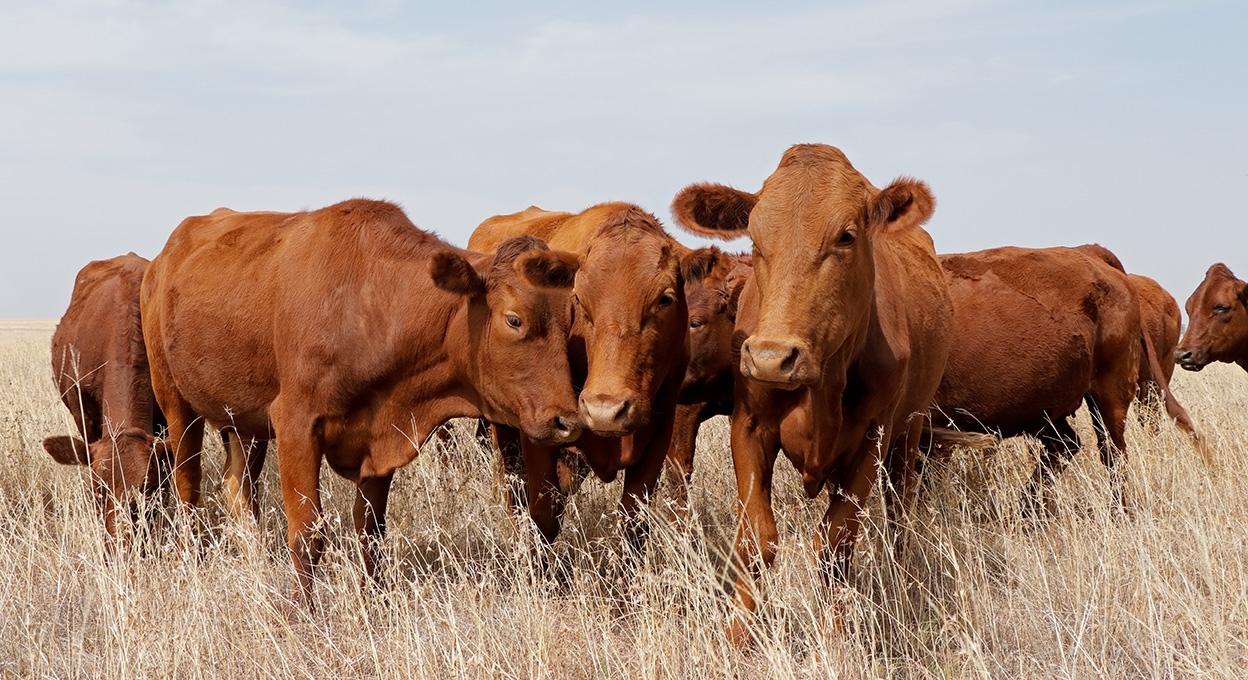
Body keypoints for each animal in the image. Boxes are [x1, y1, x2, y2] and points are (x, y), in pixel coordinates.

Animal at [141, 199, 583, 603]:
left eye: (569, 321)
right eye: (514, 319)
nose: (567, 421)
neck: (369, 308)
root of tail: (162, 258)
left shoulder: (379, 436)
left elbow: (371, 530)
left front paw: (375, 601)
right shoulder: (296, 424)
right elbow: (307, 532)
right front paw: (301, 615)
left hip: (241, 422)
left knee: (238, 489)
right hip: (176, 403)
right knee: (187, 487)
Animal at [467, 202, 701, 549]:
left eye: (665, 299)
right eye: (578, 298)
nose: (605, 410)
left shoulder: (659, 438)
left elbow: (633, 527)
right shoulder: (539, 432)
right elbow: (544, 518)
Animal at [672, 144, 954, 645]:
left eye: (846, 236)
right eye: (755, 239)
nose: (771, 357)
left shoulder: (874, 437)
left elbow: (837, 543)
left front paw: (835, 638)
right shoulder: (748, 426)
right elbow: (757, 539)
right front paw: (738, 637)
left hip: (910, 430)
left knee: (900, 511)